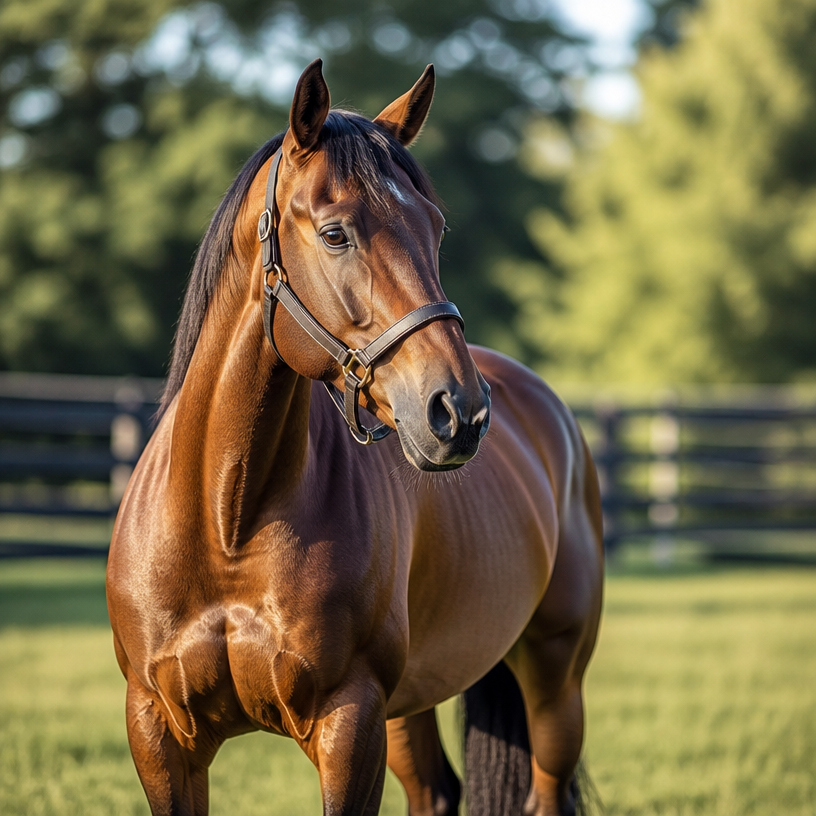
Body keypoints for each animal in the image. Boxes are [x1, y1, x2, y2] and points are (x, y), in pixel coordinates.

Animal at [106, 59, 604, 816]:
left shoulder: (351, 722)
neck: (228, 524)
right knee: (435, 792)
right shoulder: (160, 734)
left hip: (554, 683)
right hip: (415, 703)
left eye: (435, 228)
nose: (459, 410)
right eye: (336, 233)